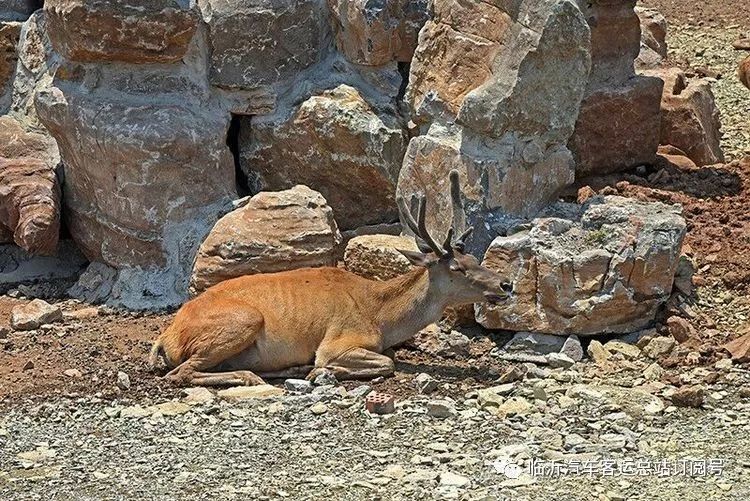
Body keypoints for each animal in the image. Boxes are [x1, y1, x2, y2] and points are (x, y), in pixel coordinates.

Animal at [150, 170, 516, 384]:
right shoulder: (338, 339)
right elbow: (386, 362)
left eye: (473, 257)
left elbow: (390, 357)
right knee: (181, 374)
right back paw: (258, 376)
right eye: (457, 268)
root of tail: (167, 337)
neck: (380, 317)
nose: (506, 283)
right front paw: (322, 370)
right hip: (243, 320)